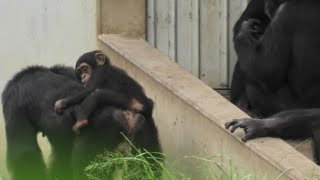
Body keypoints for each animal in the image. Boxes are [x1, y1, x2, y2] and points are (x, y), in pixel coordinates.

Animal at [1, 64, 162, 180]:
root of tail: (126, 117)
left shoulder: (13, 101)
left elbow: (24, 153)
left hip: (95, 140)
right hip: (144, 129)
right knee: (147, 164)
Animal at [226, 0, 320, 162]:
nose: (269, 7)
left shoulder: (285, 13)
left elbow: (264, 69)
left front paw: (244, 33)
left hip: (279, 104)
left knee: (252, 77)